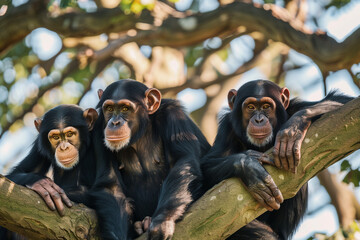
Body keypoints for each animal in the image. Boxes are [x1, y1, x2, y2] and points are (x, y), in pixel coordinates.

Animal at [88, 79, 210, 239]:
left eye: (125, 108)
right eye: (109, 108)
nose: (114, 123)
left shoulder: (173, 115)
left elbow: (182, 161)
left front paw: (162, 221)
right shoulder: (98, 129)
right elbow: (111, 185)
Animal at [201, 79, 352, 239]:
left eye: (266, 107)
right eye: (250, 107)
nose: (259, 119)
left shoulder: (295, 106)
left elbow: (343, 102)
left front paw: (293, 127)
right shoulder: (227, 125)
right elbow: (208, 165)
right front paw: (249, 166)